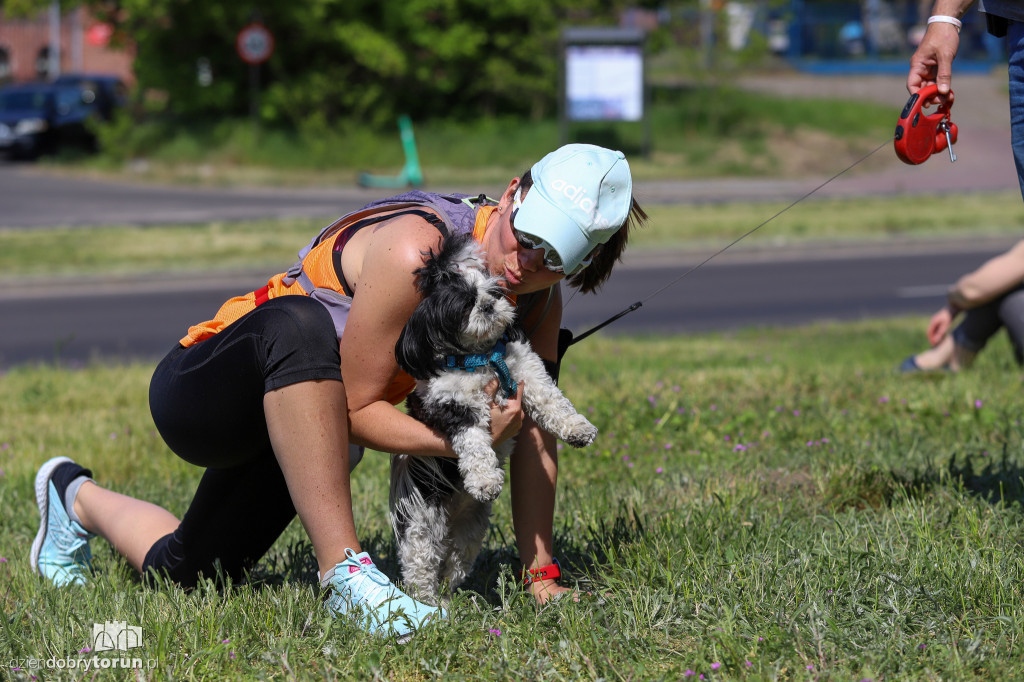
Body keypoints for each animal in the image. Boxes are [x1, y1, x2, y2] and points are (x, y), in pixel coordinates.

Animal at [391, 232, 598, 602]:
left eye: (495, 293)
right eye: (463, 305)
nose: (487, 305)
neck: (482, 357)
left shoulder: (528, 374)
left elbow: (553, 401)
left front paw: (577, 428)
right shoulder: (452, 405)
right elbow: (474, 441)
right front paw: (484, 480)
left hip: (470, 531)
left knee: (454, 562)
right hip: (420, 526)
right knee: (421, 567)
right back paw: (428, 604)